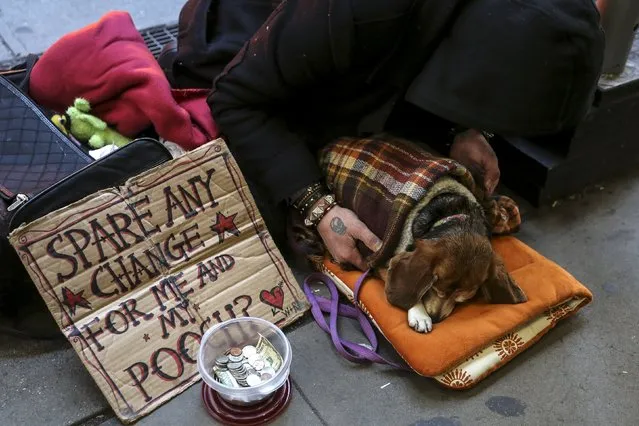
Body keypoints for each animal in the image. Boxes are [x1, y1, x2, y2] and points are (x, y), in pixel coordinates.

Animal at [288, 135, 524, 334]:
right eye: (434, 287)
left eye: (462, 299)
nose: (436, 317)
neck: (453, 214)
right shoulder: (386, 260)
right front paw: (419, 314)